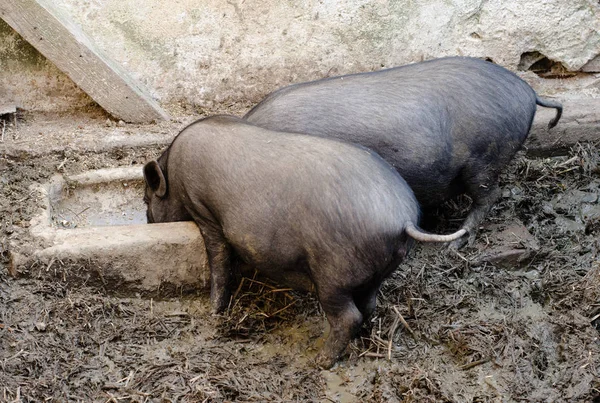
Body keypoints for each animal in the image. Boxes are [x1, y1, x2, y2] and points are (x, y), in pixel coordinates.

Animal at [144, 116, 464, 370]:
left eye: (147, 200)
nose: (147, 220)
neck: (173, 172)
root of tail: (402, 218)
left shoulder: (204, 211)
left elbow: (219, 260)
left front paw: (213, 311)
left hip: (332, 274)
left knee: (348, 316)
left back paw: (321, 361)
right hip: (377, 271)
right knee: (369, 304)